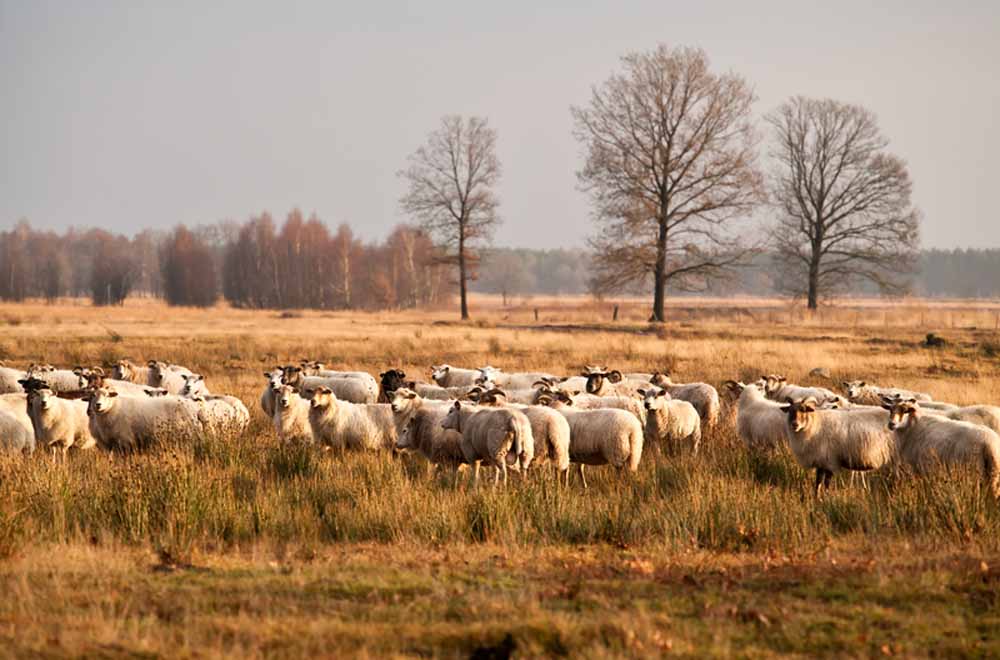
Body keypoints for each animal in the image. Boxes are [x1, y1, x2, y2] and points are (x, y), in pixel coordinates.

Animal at [772, 398, 900, 496]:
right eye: (790, 411)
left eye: (804, 410)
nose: (795, 425)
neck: (814, 425)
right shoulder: (821, 462)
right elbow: (818, 482)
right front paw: (816, 497)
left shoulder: (830, 461)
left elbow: (826, 483)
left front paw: (826, 498)